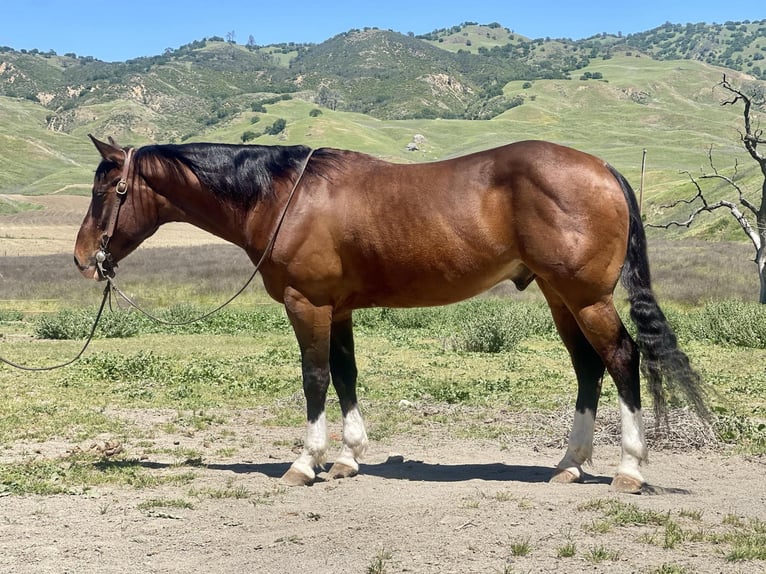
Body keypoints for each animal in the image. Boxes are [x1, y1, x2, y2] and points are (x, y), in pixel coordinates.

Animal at [75, 136, 712, 496]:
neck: (283, 197)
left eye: (108, 191)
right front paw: (348, 459)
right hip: (561, 298)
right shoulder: (338, 309)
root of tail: (604, 169)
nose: (84, 259)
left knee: (621, 359)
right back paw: (570, 465)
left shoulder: (308, 305)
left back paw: (629, 470)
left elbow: (315, 379)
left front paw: (306, 463)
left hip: (585, 298)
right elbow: (346, 376)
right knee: (588, 368)